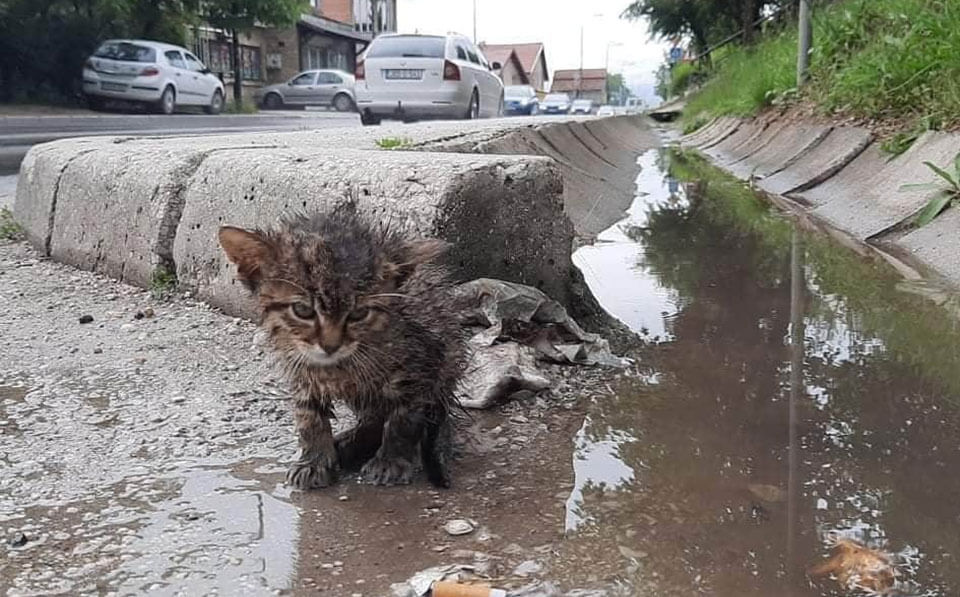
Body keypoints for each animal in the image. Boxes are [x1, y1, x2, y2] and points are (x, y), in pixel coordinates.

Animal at [221, 207, 468, 486]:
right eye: (303, 310)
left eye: (359, 313)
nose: (330, 345)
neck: (339, 365)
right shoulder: (299, 368)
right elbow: (308, 416)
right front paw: (314, 460)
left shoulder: (421, 361)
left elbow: (404, 417)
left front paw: (391, 460)